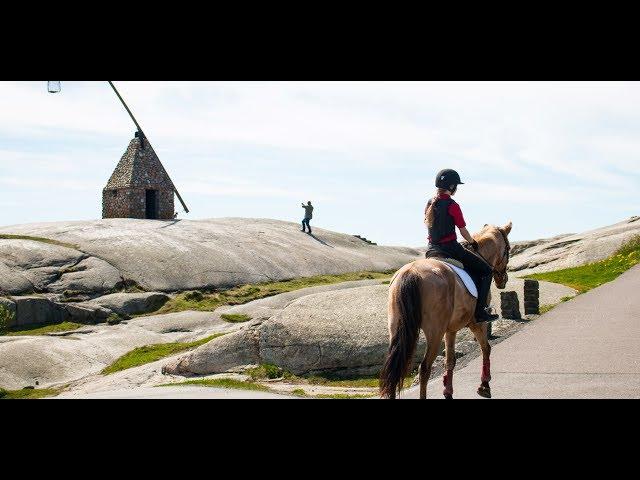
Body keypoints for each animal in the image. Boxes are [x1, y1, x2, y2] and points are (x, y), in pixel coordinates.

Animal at [380, 223, 510, 400]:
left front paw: (448, 392)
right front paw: (484, 385)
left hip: (397, 328)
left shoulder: (451, 329)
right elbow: (486, 348)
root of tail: (411, 272)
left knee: (395, 366)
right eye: (508, 249)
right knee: (424, 368)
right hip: (435, 332)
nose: (503, 280)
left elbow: (450, 361)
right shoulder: (477, 323)